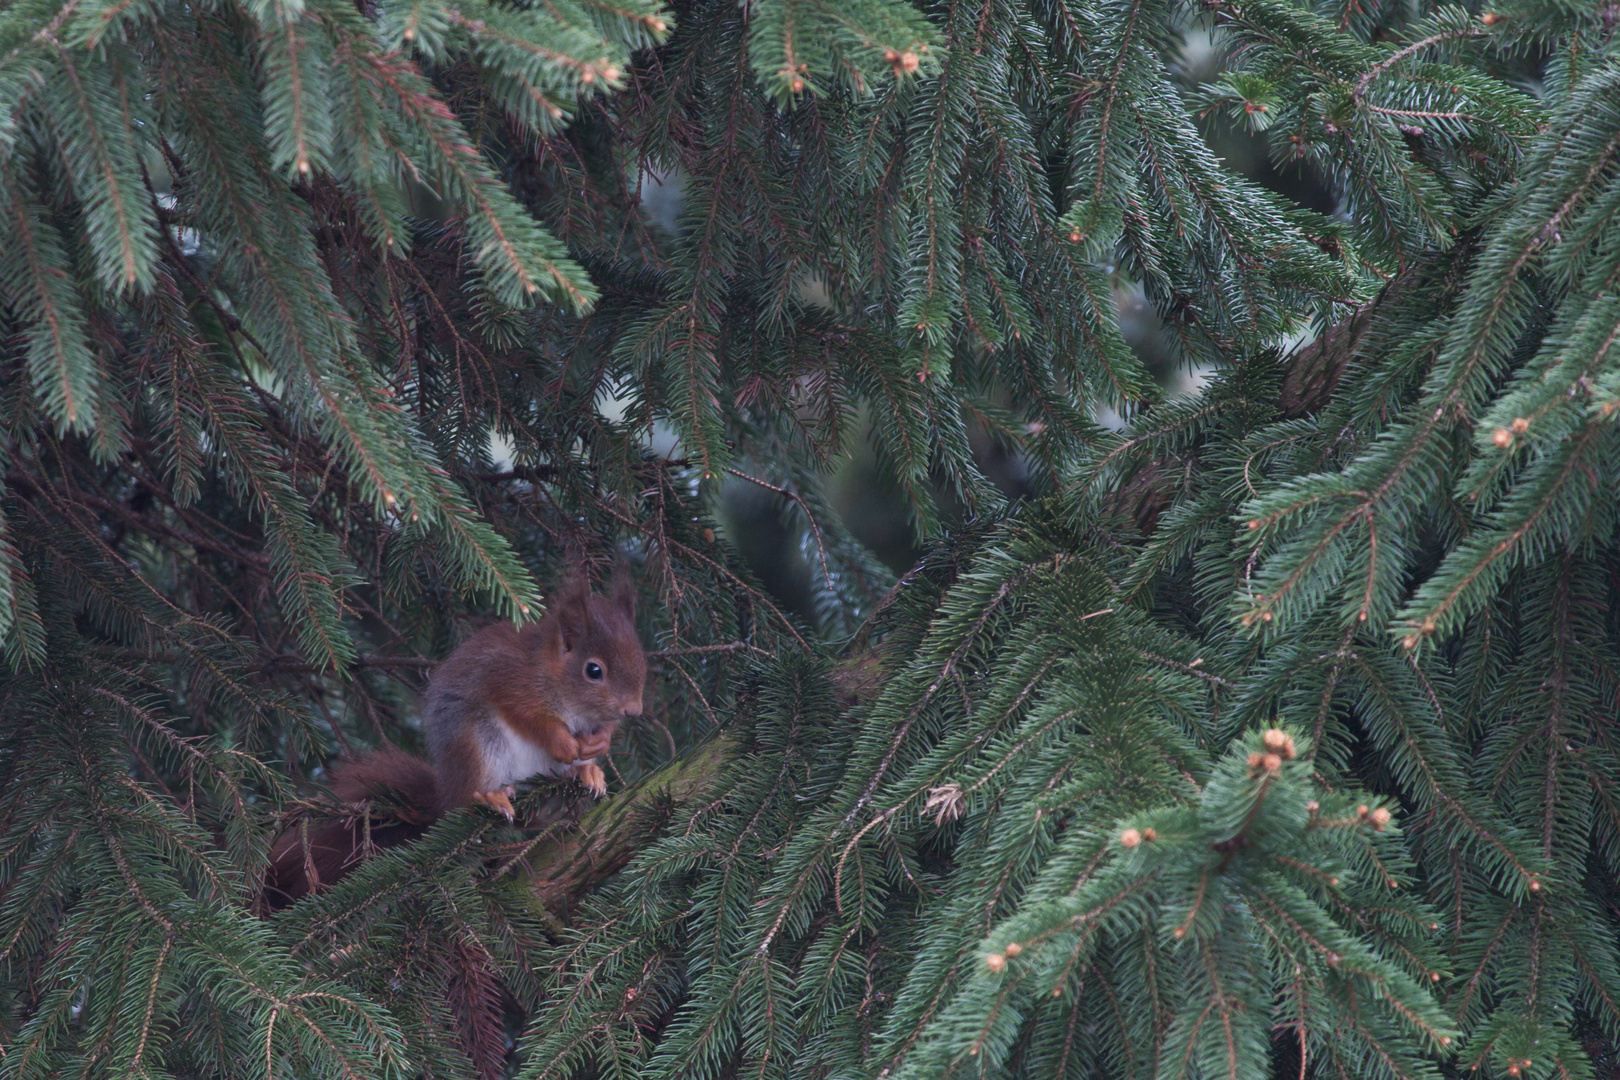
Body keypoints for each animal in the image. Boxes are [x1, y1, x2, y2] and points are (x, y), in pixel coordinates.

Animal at [262, 579, 641, 906]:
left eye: (640, 659)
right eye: (593, 670)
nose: (635, 710)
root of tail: (444, 793)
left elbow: (600, 731)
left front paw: (600, 744)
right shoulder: (509, 680)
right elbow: (529, 717)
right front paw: (562, 741)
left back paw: (586, 773)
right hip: (479, 742)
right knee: (468, 800)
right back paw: (491, 796)